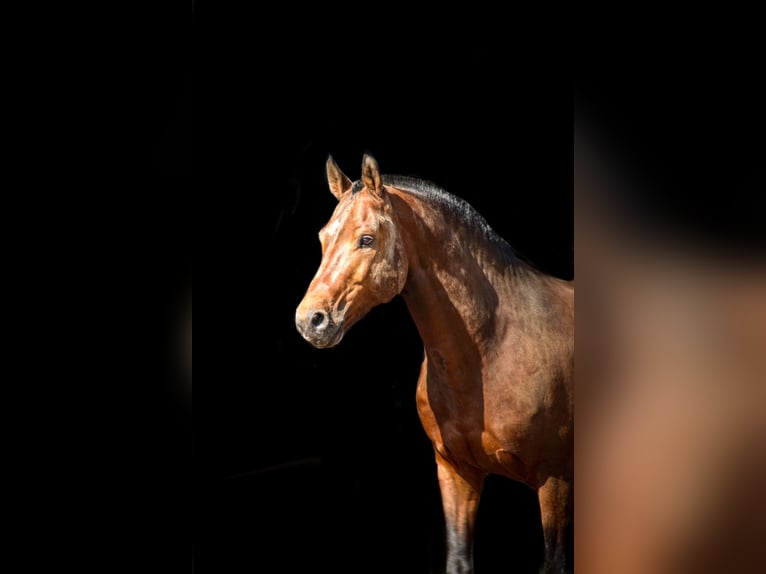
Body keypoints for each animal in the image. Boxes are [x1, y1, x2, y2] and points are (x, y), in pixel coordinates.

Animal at [295, 154, 574, 574]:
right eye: (323, 238)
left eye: (367, 239)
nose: (310, 320)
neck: (493, 349)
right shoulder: (455, 472)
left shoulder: (554, 482)